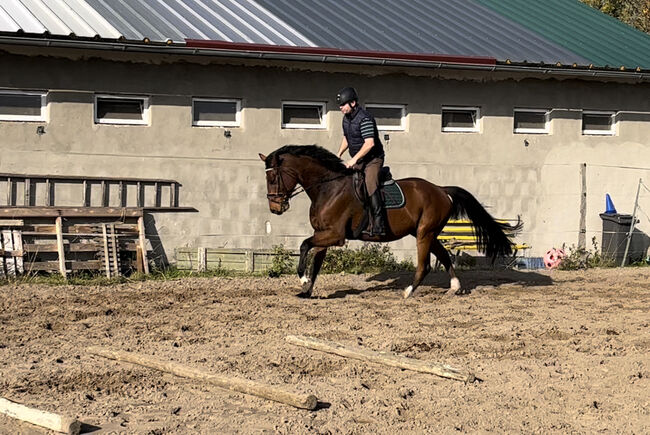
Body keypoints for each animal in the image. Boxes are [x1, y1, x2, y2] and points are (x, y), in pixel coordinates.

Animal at [258, 146, 516, 300]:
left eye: (273, 177)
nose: (275, 208)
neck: (328, 187)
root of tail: (441, 190)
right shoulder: (323, 234)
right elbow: (316, 262)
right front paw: (306, 290)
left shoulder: (335, 235)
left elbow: (303, 245)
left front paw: (302, 279)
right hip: (426, 233)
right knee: (442, 255)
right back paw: (454, 288)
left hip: (424, 233)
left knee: (425, 265)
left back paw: (408, 292)